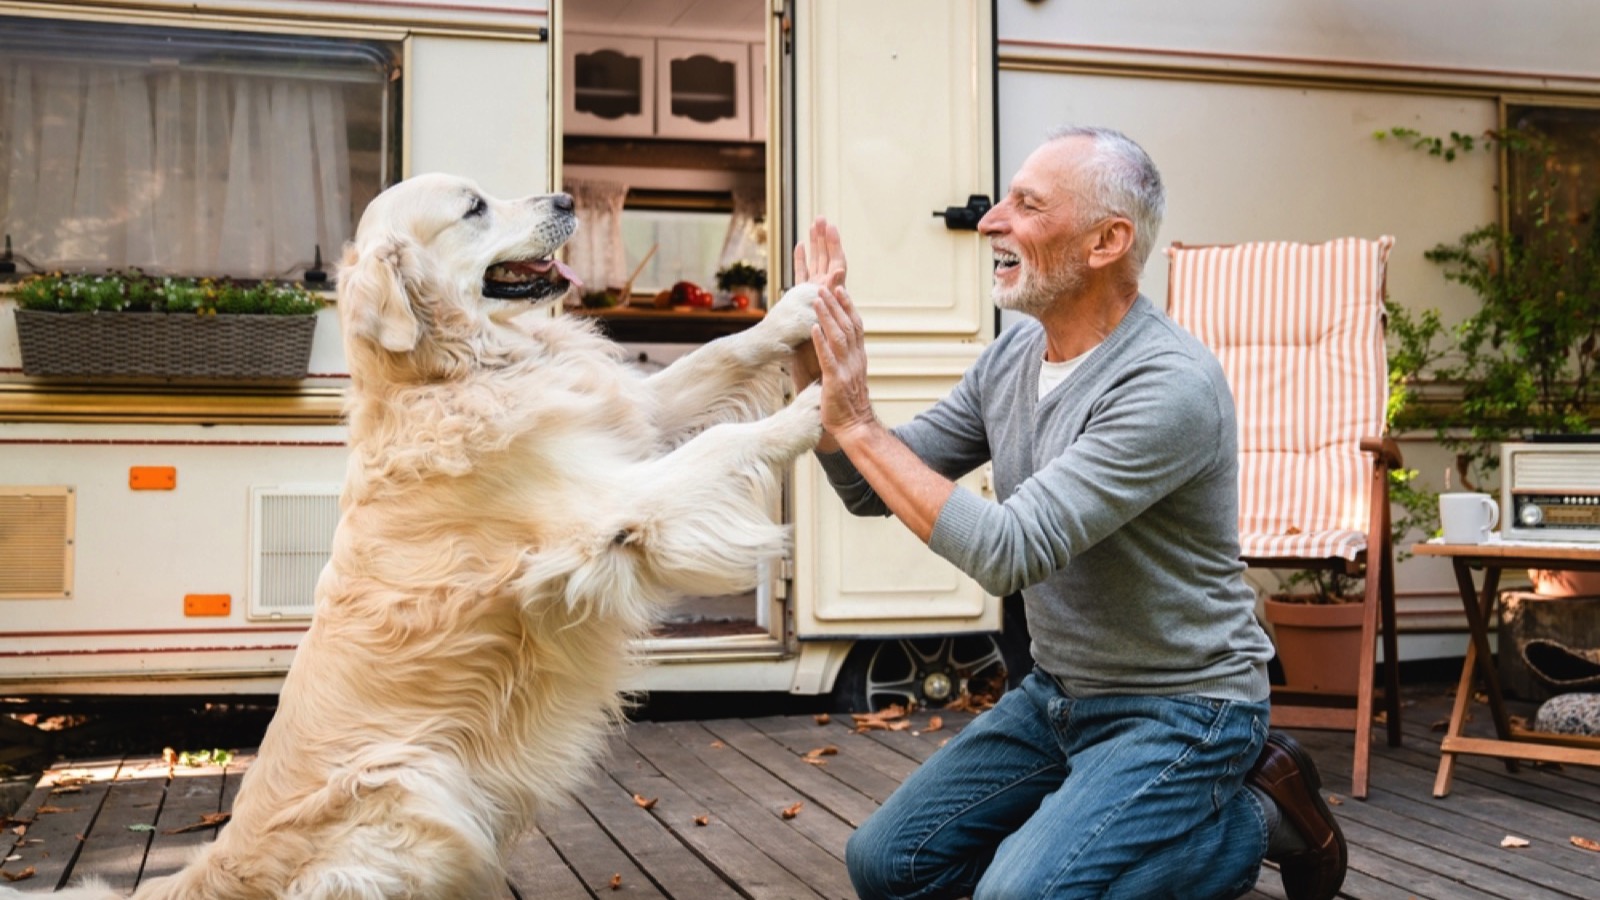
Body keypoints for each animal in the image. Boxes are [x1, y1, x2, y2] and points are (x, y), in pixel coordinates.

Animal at [18, 171, 825, 890]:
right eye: (474, 207)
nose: (567, 197)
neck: (457, 373)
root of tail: (216, 866)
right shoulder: (612, 504)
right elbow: (722, 444)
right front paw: (816, 408)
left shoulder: (634, 426)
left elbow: (715, 357)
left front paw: (798, 312)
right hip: (412, 781)